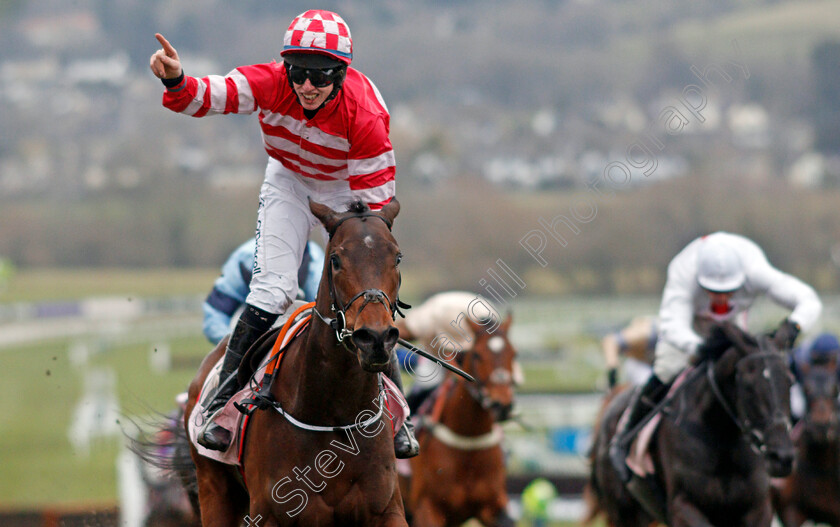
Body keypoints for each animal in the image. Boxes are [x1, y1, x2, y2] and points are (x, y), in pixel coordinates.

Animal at [179, 199, 408, 527]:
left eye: (397, 257)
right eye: (336, 260)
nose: (375, 337)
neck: (335, 417)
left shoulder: (386, 509)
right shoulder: (269, 514)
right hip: (214, 488)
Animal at [402, 314, 516, 524]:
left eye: (514, 354)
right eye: (477, 355)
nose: (502, 405)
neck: (468, 441)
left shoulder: (494, 506)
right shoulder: (427, 508)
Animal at [584, 322, 796, 527]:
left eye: (790, 381)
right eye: (747, 384)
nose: (781, 457)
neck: (723, 440)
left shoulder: (758, 508)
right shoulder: (682, 506)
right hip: (624, 513)